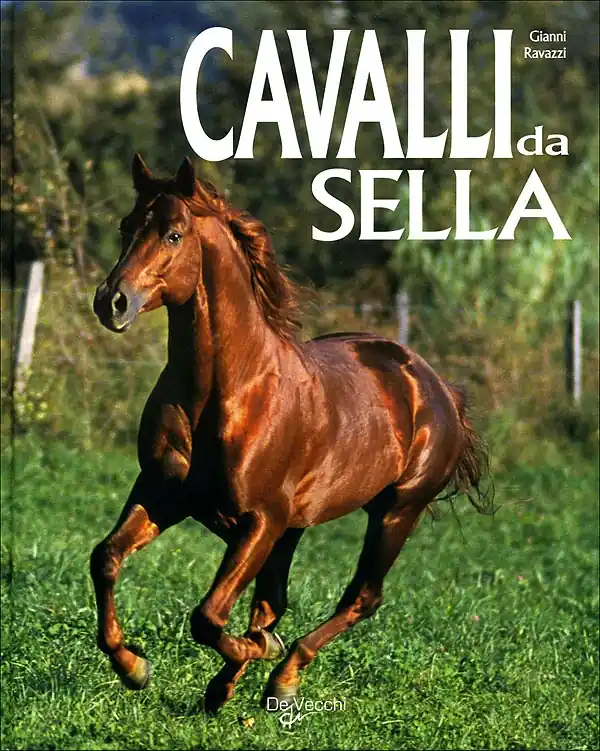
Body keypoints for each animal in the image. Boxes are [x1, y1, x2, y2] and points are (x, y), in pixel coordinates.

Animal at [91, 154, 492, 713]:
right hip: (296, 528)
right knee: (274, 601)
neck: (224, 391)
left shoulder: (260, 520)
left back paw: (281, 676)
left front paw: (255, 654)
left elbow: (207, 617)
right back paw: (232, 684)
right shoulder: (162, 494)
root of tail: (436, 385)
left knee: (361, 597)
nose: (112, 302)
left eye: (173, 234)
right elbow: (106, 559)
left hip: (396, 511)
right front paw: (133, 667)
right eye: (126, 227)